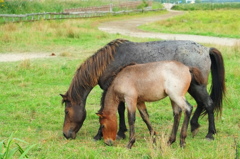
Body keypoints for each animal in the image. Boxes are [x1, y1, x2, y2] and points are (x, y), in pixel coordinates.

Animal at [60, 39, 225, 141]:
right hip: (190, 88)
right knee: (200, 104)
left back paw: (210, 134)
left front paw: (100, 135)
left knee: (208, 104)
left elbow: (110, 111)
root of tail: (206, 49)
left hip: (197, 87)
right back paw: (194, 126)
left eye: (67, 111)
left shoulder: (111, 89)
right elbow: (121, 110)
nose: (66, 134)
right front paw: (122, 132)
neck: (108, 61)